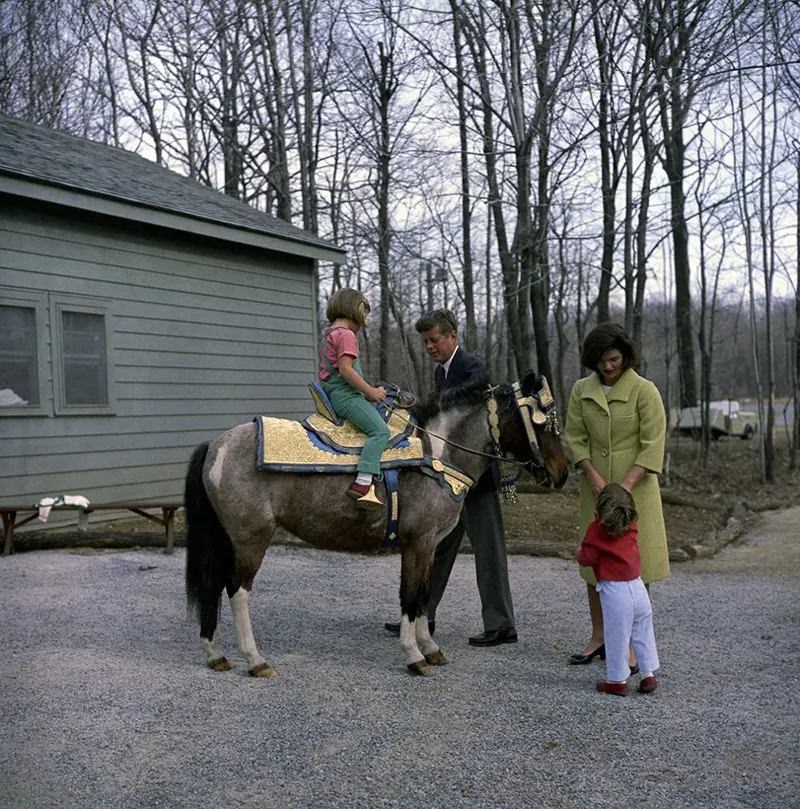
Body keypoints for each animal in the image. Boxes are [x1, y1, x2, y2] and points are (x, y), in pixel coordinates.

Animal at [185, 372, 568, 676]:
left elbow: (424, 593)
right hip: (251, 538)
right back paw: (255, 660)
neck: (436, 457)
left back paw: (215, 653)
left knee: (214, 585)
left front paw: (431, 648)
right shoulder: (417, 542)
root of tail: (216, 445)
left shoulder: (429, 546)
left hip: (227, 538)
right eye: (540, 422)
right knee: (237, 591)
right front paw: (414, 656)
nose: (561, 474)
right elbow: (410, 595)